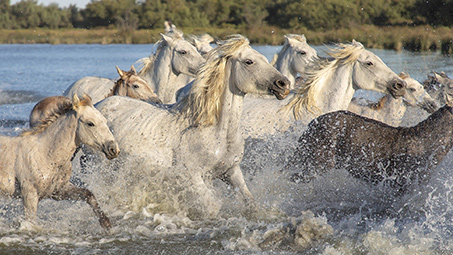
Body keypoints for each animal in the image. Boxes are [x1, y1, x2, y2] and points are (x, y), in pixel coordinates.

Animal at [0, 94, 119, 229]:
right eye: (90, 123)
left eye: (105, 121)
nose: (113, 149)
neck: (45, 154)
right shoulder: (29, 194)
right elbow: (30, 221)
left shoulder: (58, 191)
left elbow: (88, 194)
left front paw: (106, 223)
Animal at [94, 34, 290, 217]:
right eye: (249, 61)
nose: (284, 84)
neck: (215, 131)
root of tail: (98, 105)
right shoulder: (193, 176)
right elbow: (212, 207)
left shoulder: (231, 171)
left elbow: (250, 203)